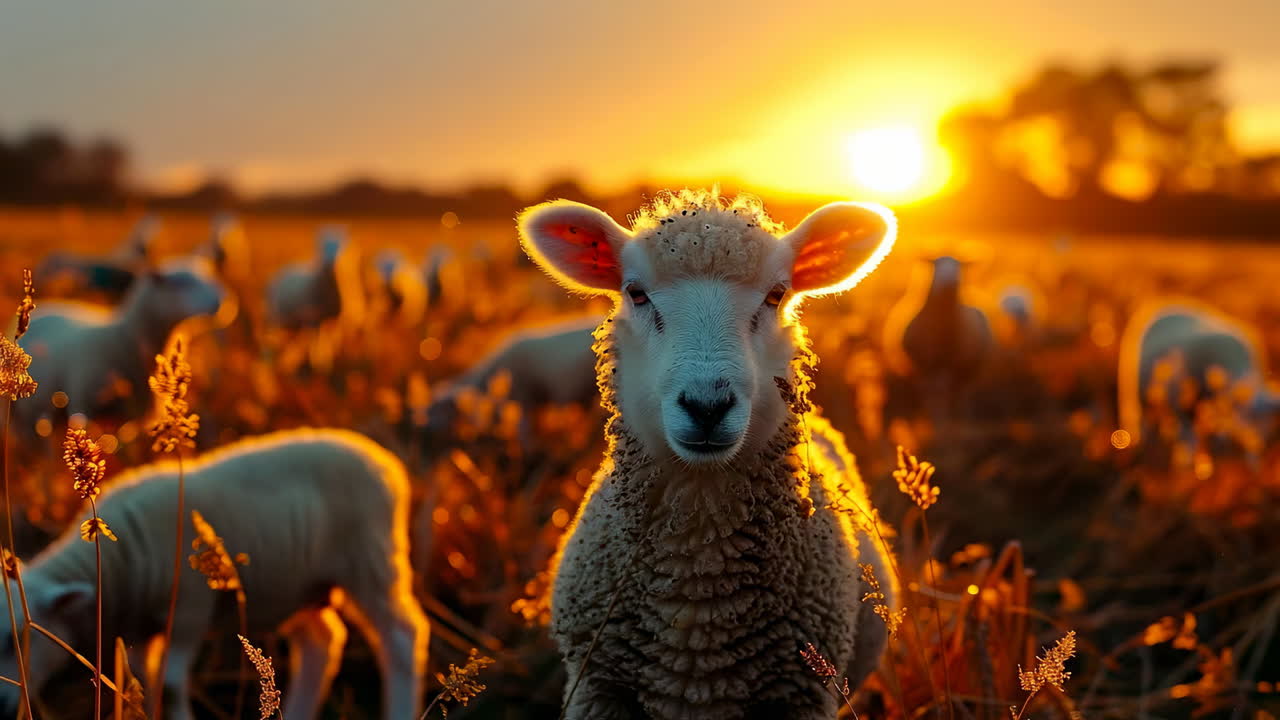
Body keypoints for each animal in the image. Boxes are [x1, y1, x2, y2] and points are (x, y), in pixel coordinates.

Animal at [0, 428, 429, 720]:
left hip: (371, 561)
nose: (4, 702)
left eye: (18, 638)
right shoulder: (141, 630)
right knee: (320, 644)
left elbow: (172, 686)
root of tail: (383, 460)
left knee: (401, 638)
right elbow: (148, 682)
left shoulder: (189, 608)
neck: (119, 564)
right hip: (296, 584)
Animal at [1118, 299, 1278, 463]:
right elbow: (1188, 437)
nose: (1256, 449)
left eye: (1269, 422)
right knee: (1145, 423)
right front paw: (1187, 461)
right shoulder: (1181, 402)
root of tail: (1169, 304)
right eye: (1249, 416)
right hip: (1143, 394)